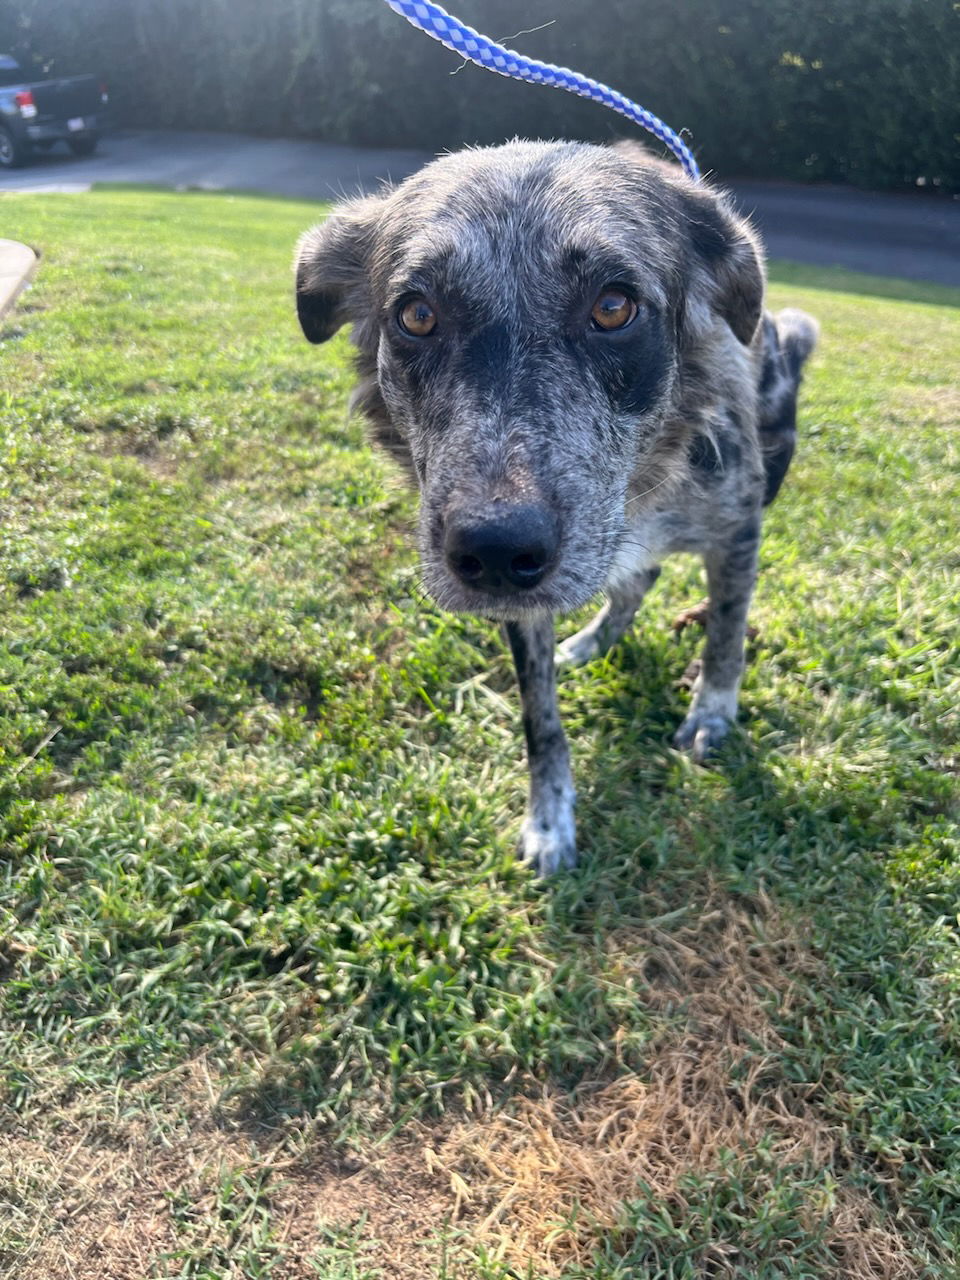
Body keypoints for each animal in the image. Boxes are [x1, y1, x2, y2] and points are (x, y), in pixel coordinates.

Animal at [293, 142, 819, 880]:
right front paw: (549, 819)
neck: (642, 484)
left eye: (613, 306)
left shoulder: (737, 528)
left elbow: (725, 634)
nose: (494, 550)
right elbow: (540, 719)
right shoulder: (523, 607)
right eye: (416, 314)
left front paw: (712, 713)